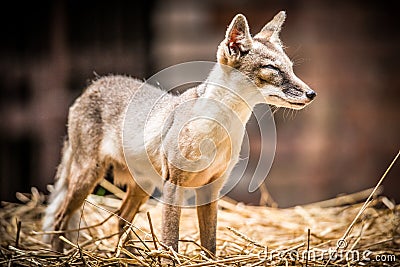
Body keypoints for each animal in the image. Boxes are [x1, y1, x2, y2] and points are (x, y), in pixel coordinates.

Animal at [43, 11, 316, 256]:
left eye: (291, 68)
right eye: (273, 69)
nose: (312, 94)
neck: (218, 130)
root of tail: (93, 84)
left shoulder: (210, 190)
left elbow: (210, 243)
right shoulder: (174, 184)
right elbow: (170, 239)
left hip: (142, 186)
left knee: (121, 217)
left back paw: (128, 255)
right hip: (89, 176)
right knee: (60, 219)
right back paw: (59, 256)